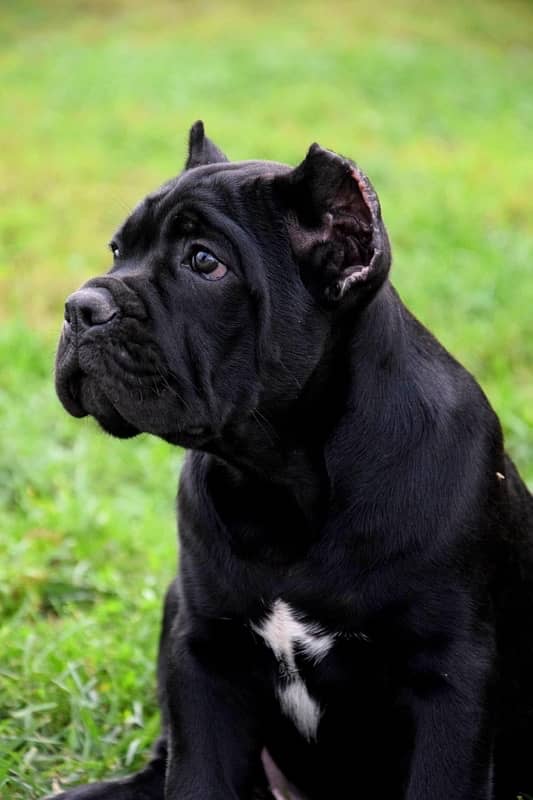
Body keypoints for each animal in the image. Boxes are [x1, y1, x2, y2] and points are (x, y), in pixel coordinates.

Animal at [53, 120, 532, 800]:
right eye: (117, 251)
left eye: (205, 261)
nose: (80, 307)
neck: (279, 481)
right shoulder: (204, 655)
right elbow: (194, 779)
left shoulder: (451, 678)